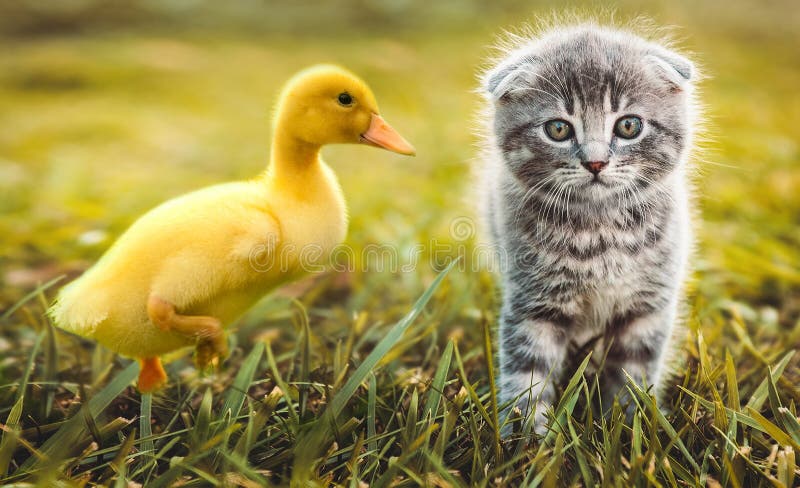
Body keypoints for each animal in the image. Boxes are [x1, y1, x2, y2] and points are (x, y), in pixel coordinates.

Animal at [478, 22, 696, 436]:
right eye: (558, 129)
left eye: (629, 125)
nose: (595, 162)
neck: (599, 231)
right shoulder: (533, 302)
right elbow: (528, 367)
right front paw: (526, 435)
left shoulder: (648, 304)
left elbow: (634, 370)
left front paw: (631, 427)